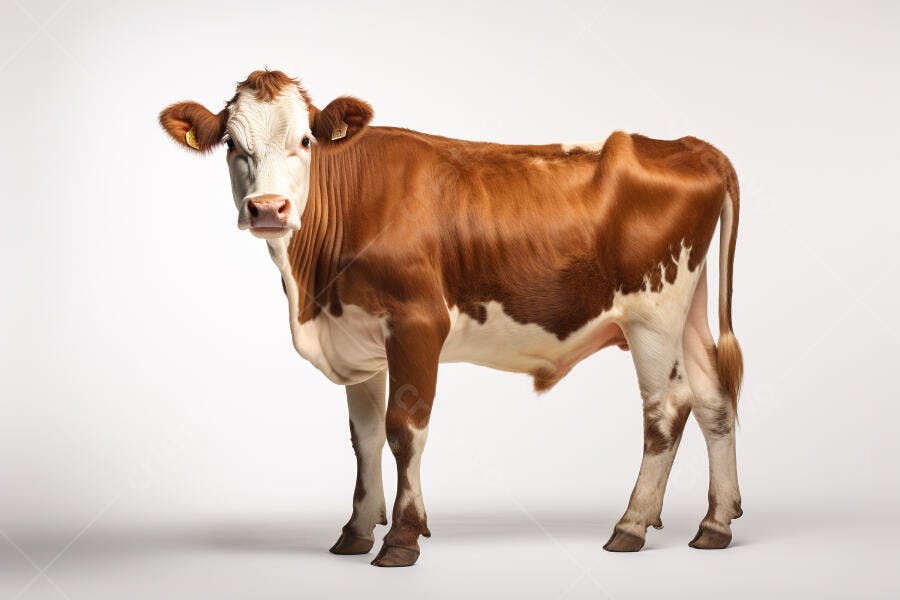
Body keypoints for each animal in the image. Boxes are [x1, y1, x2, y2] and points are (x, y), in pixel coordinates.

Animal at [159, 69, 743, 567]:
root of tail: (688, 145)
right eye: (232, 144)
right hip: (688, 309)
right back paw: (715, 524)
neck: (312, 295)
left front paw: (401, 536)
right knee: (714, 398)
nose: (268, 209)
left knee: (667, 409)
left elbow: (404, 429)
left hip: (652, 313)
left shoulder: (417, 324)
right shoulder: (357, 335)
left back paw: (632, 525)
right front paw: (355, 530)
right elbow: (364, 436)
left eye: (305, 141)